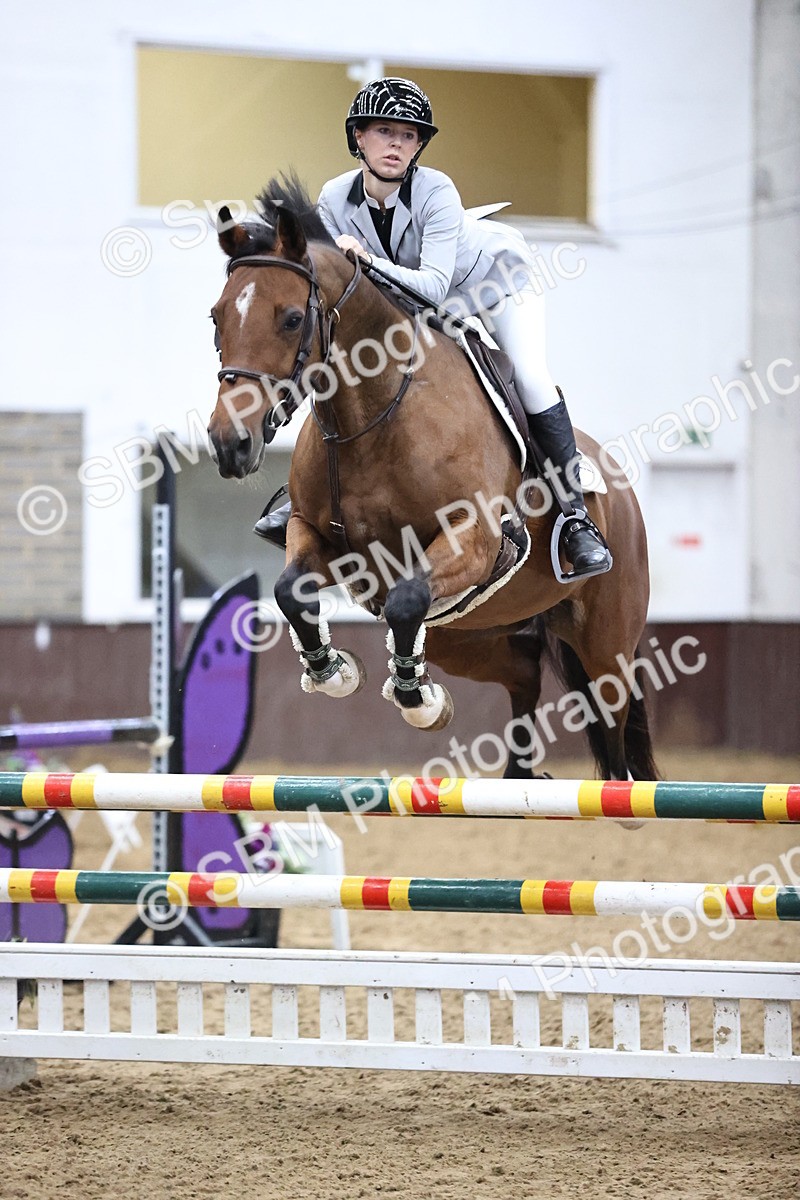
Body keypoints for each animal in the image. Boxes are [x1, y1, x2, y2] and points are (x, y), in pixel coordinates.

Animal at [207, 175, 657, 782]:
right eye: (216, 318)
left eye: (291, 319)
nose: (230, 444)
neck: (373, 415)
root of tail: (619, 487)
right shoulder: (317, 534)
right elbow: (289, 590)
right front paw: (335, 672)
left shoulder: (477, 541)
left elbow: (404, 601)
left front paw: (417, 700)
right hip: (468, 635)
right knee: (523, 670)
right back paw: (518, 772)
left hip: (606, 642)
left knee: (614, 722)